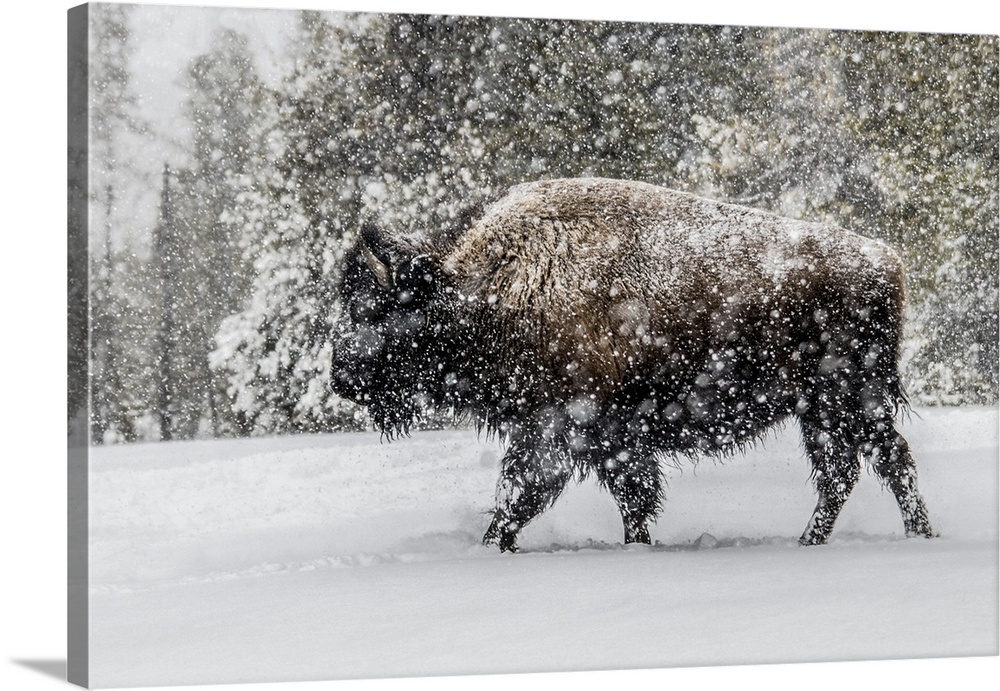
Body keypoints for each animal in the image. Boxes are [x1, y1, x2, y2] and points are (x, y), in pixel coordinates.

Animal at [332, 177, 932, 552]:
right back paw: (817, 540)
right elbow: (629, 497)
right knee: (845, 471)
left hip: (848, 399)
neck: (487, 287)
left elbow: (524, 493)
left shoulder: (560, 427)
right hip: (821, 410)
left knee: (886, 463)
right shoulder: (603, 437)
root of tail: (888, 261)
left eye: (375, 308)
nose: (340, 377)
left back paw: (915, 538)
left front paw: (494, 546)